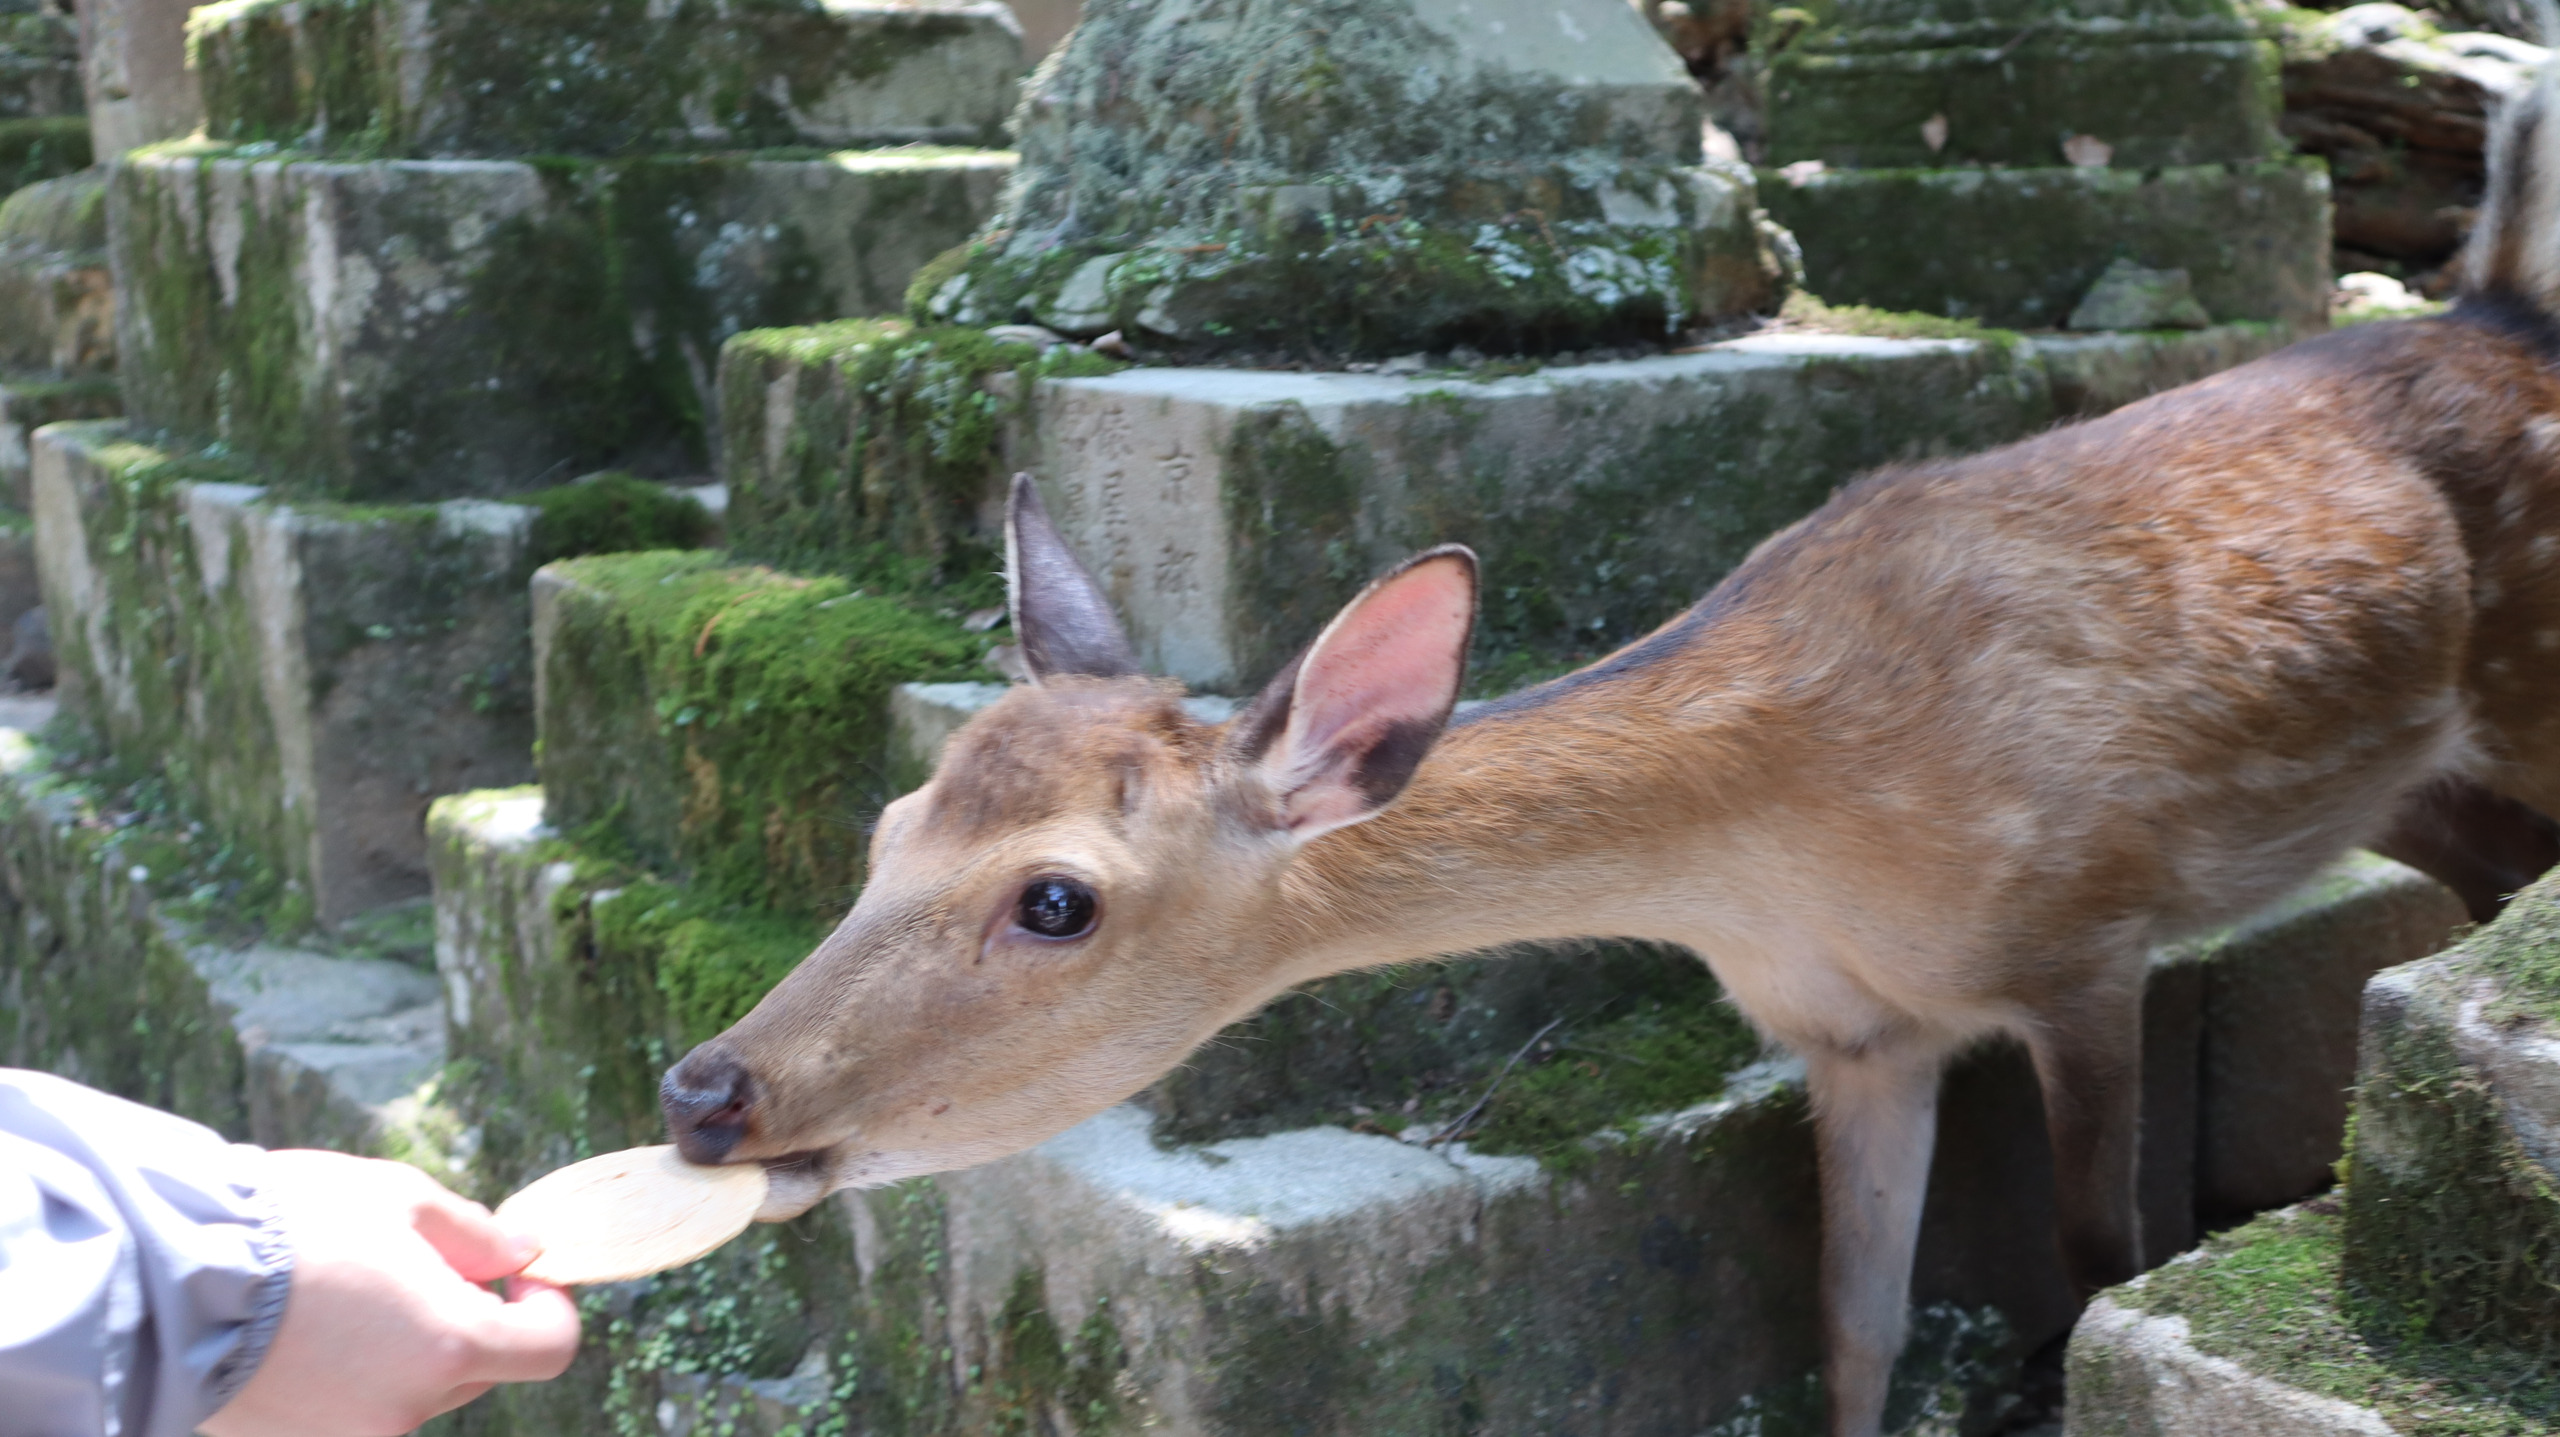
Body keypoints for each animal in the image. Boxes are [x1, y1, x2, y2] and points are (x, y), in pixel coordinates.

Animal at [656, 73, 2560, 1437]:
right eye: (887, 820)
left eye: (1057, 899)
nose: (703, 1087)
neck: (1791, 846)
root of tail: (2504, 311)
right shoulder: (1853, 1033)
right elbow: (1850, 1329)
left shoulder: (2088, 929)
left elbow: (2098, 1263)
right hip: (2422, 782)